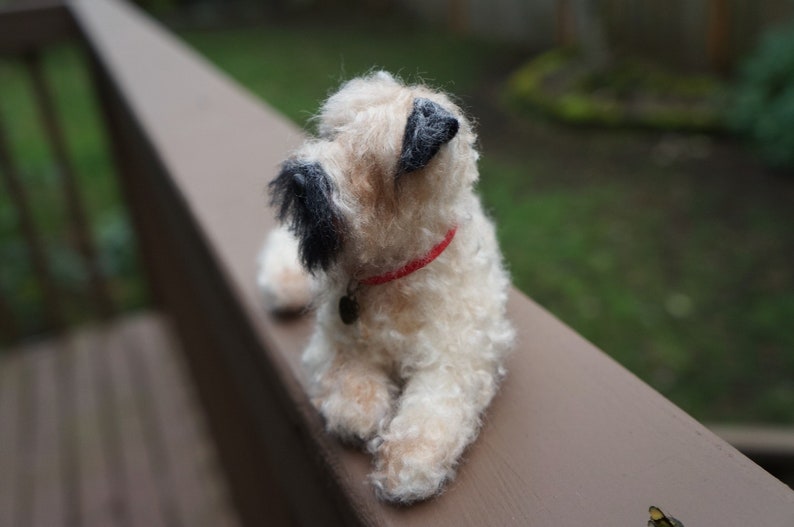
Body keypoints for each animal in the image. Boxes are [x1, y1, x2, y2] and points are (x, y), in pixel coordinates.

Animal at [258, 71, 512, 504]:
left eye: (366, 155)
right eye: (332, 134)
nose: (299, 179)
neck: (396, 274)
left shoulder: (459, 355)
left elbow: (436, 406)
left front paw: (409, 464)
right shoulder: (334, 336)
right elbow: (348, 374)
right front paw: (357, 410)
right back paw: (282, 281)